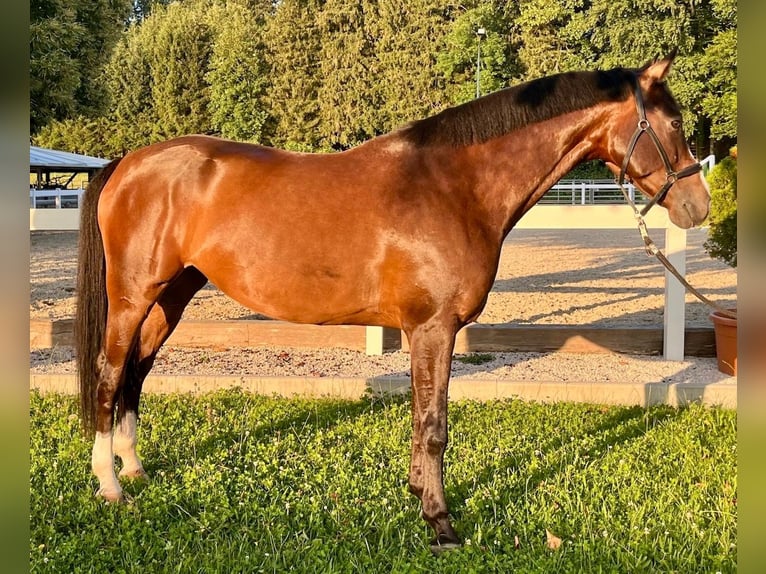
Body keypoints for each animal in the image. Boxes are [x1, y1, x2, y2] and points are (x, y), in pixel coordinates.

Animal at [76, 53, 708, 552]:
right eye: (675, 122)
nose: (698, 206)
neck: (455, 185)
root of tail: (128, 162)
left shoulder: (423, 331)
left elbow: (420, 416)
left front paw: (418, 494)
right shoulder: (434, 327)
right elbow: (433, 424)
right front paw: (441, 524)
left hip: (172, 296)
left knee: (137, 372)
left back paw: (135, 468)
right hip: (132, 296)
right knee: (109, 374)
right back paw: (110, 486)